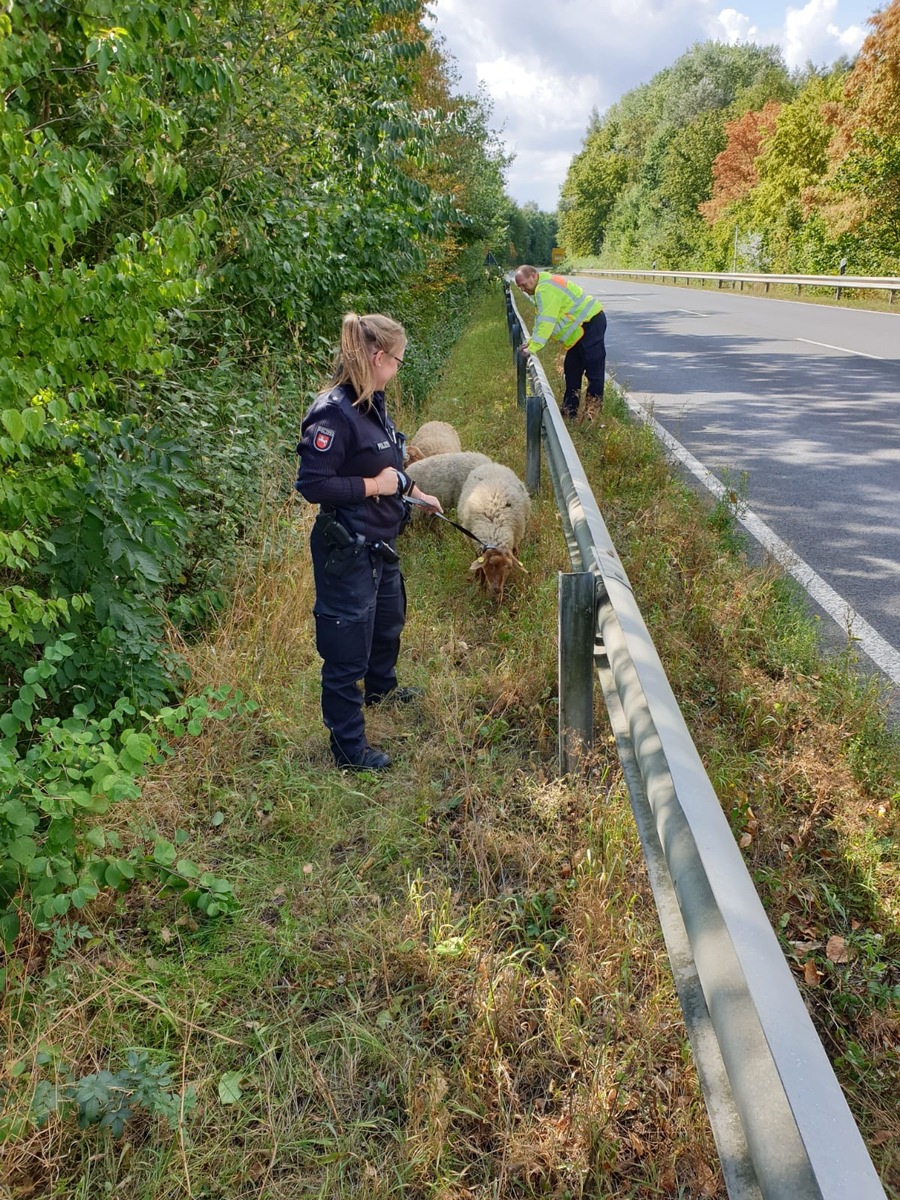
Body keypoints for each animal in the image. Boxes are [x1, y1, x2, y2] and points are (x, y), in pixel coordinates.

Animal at [458, 458, 528, 600]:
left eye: (508, 567)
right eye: (490, 565)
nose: (496, 589)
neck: (494, 530)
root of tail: (493, 465)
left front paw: (499, 598)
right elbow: (480, 567)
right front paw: (481, 584)